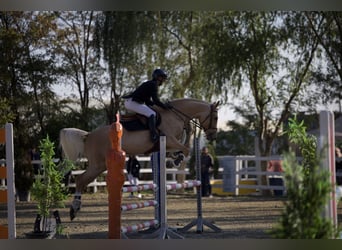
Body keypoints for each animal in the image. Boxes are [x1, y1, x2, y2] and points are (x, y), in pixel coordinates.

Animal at [58, 98, 219, 220]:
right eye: (216, 118)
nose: (212, 136)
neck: (175, 115)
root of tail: (88, 135)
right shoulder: (169, 139)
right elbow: (185, 149)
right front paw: (177, 160)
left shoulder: (170, 143)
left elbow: (184, 142)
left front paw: (175, 157)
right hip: (97, 165)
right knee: (81, 180)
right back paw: (74, 209)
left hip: (100, 165)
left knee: (82, 180)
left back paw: (75, 209)